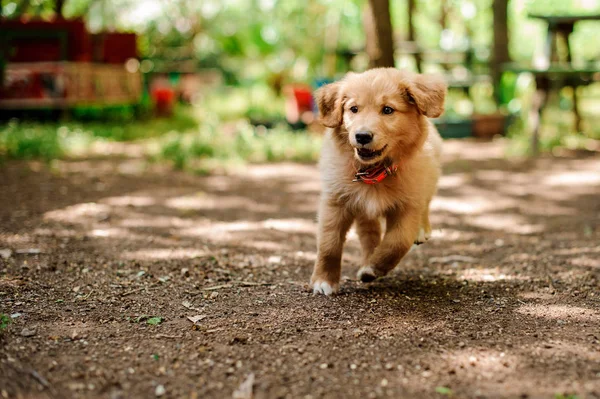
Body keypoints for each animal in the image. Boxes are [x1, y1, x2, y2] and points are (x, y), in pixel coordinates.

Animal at [310, 67, 446, 296]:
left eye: (388, 110)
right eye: (353, 109)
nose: (362, 136)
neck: (374, 172)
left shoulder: (408, 205)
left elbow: (397, 242)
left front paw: (373, 268)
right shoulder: (335, 201)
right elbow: (329, 244)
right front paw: (323, 281)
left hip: (428, 179)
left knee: (425, 206)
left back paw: (421, 230)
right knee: (369, 233)